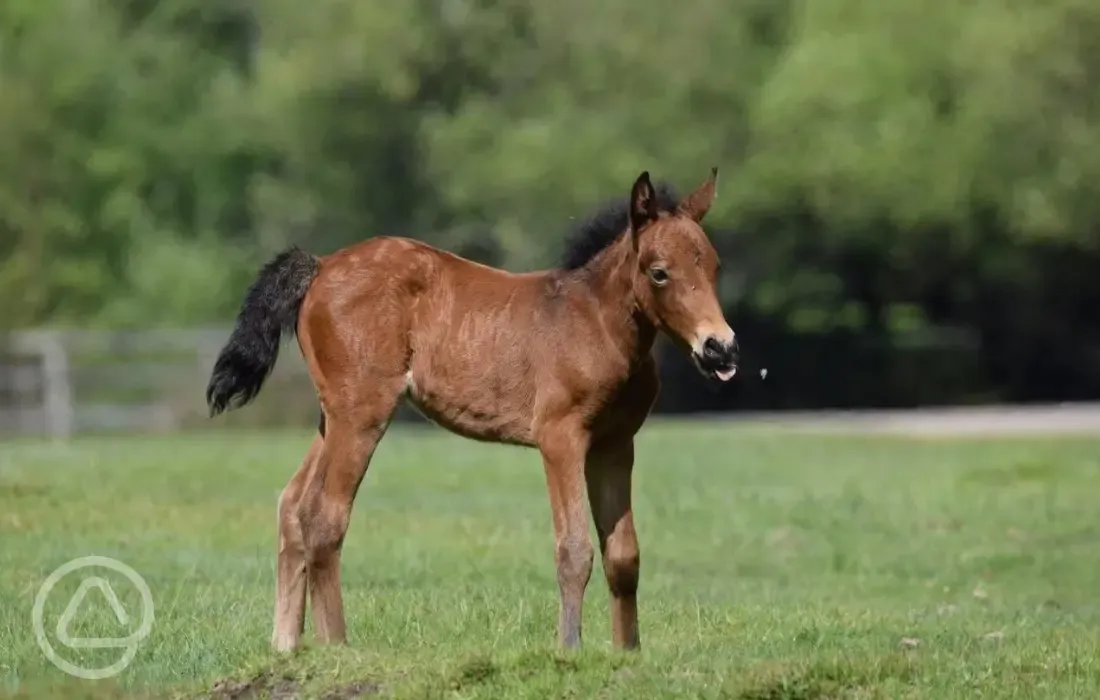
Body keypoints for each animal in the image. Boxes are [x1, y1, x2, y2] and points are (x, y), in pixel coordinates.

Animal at [206, 167, 739, 651]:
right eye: (659, 271)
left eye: (713, 266)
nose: (721, 349)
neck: (597, 323)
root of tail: (320, 264)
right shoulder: (560, 437)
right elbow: (574, 548)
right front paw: (569, 650)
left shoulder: (615, 444)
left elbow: (623, 555)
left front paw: (627, 653)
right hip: (361, 414)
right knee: (323, 515)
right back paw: (337, 646)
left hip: (332, 416)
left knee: (292, 505)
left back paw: (286, 647)